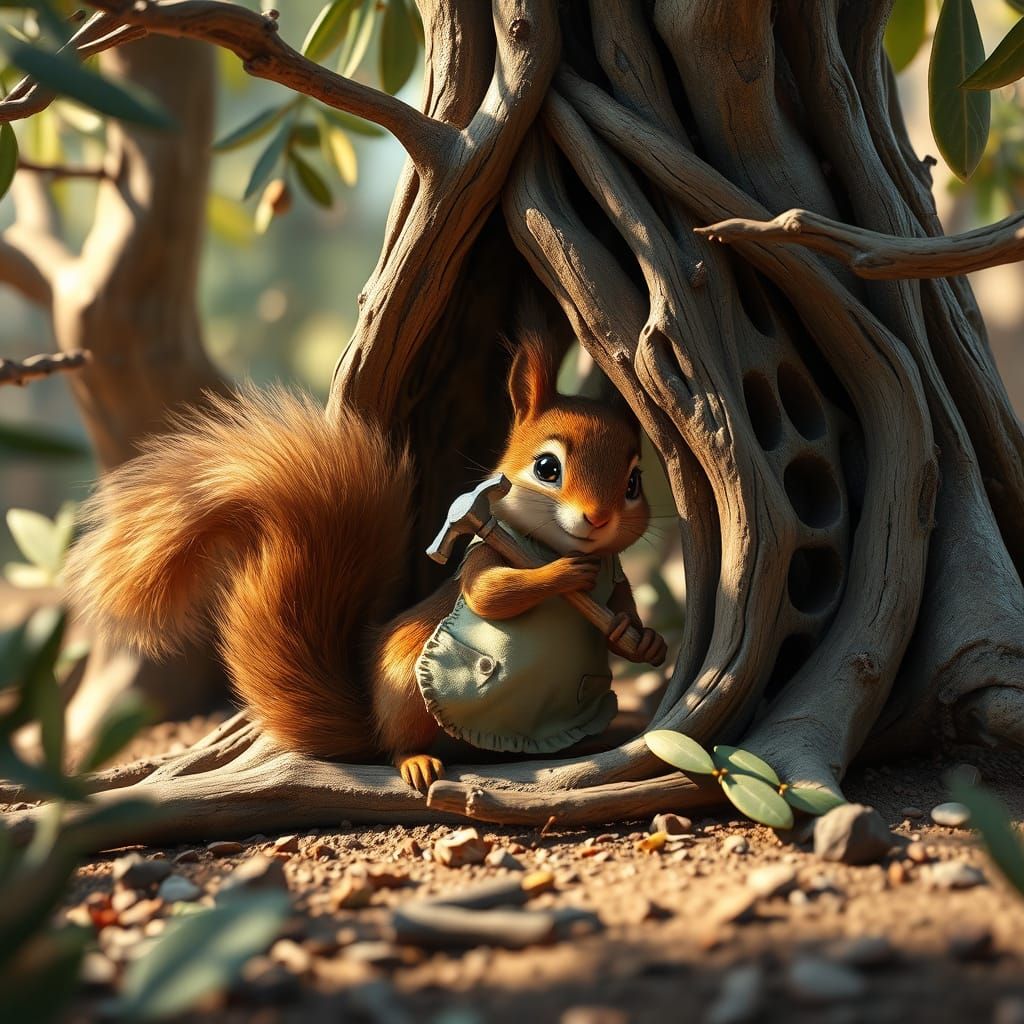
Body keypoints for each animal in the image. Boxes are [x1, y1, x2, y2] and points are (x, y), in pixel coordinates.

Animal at [65, 323, 667, 793]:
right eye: (546, 468)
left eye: (634, 483)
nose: (597, 519)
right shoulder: (478, 551)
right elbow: (486, 593)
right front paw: (566, 574)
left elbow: (620, 603)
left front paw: (641, 639)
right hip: (406, 684)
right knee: (395, 745)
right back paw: (418, 760)